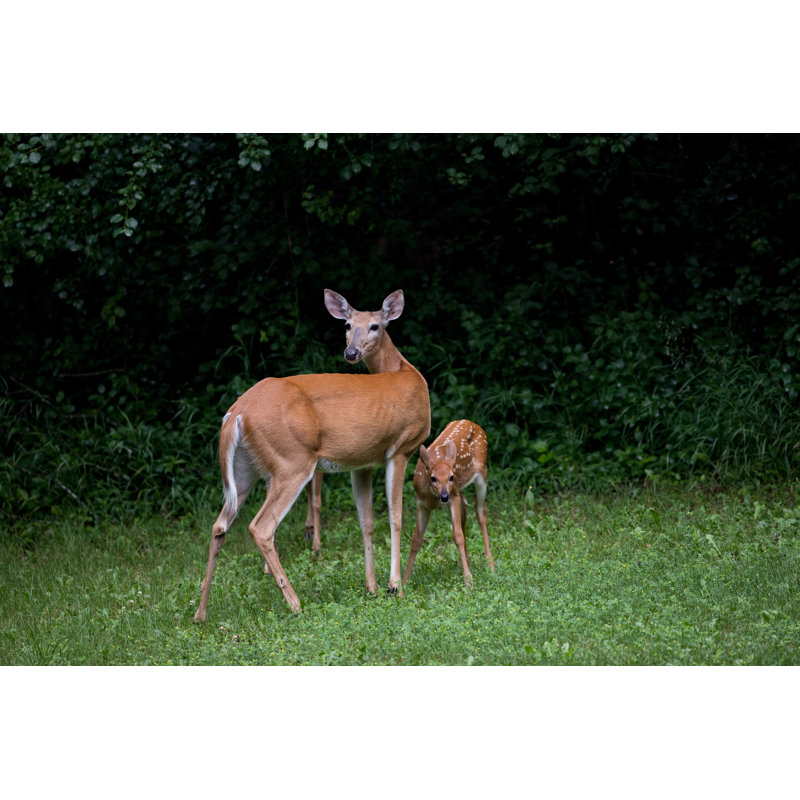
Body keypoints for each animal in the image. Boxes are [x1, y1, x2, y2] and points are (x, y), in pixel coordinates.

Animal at [194, 289, 430, 620]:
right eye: (347, 325)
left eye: (374, 326)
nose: (351, 352)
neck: (403, 371)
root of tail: (236, 413)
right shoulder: (400, 448)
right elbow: (395, 517)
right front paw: (394, 586)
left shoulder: (362, 462)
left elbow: (367, 522)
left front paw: (371, 588)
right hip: (292, 461)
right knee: (261, 527)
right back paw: (294, 602)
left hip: (243, 471)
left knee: (219, 526)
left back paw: (201, 613)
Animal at [403, 419, 495, 587]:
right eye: (433, 478)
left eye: (451, 477)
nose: (444, 496)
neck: (432, 497)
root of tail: (472, 423)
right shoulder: (422, 503)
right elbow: (416, 540)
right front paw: (404, 581)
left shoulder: (454, 496)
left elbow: (457, 535)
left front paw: (468, 580)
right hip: (461, 489)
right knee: (465, 514)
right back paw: (469, 561)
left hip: (482, 474)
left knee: (481, 512)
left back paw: (490, 564)